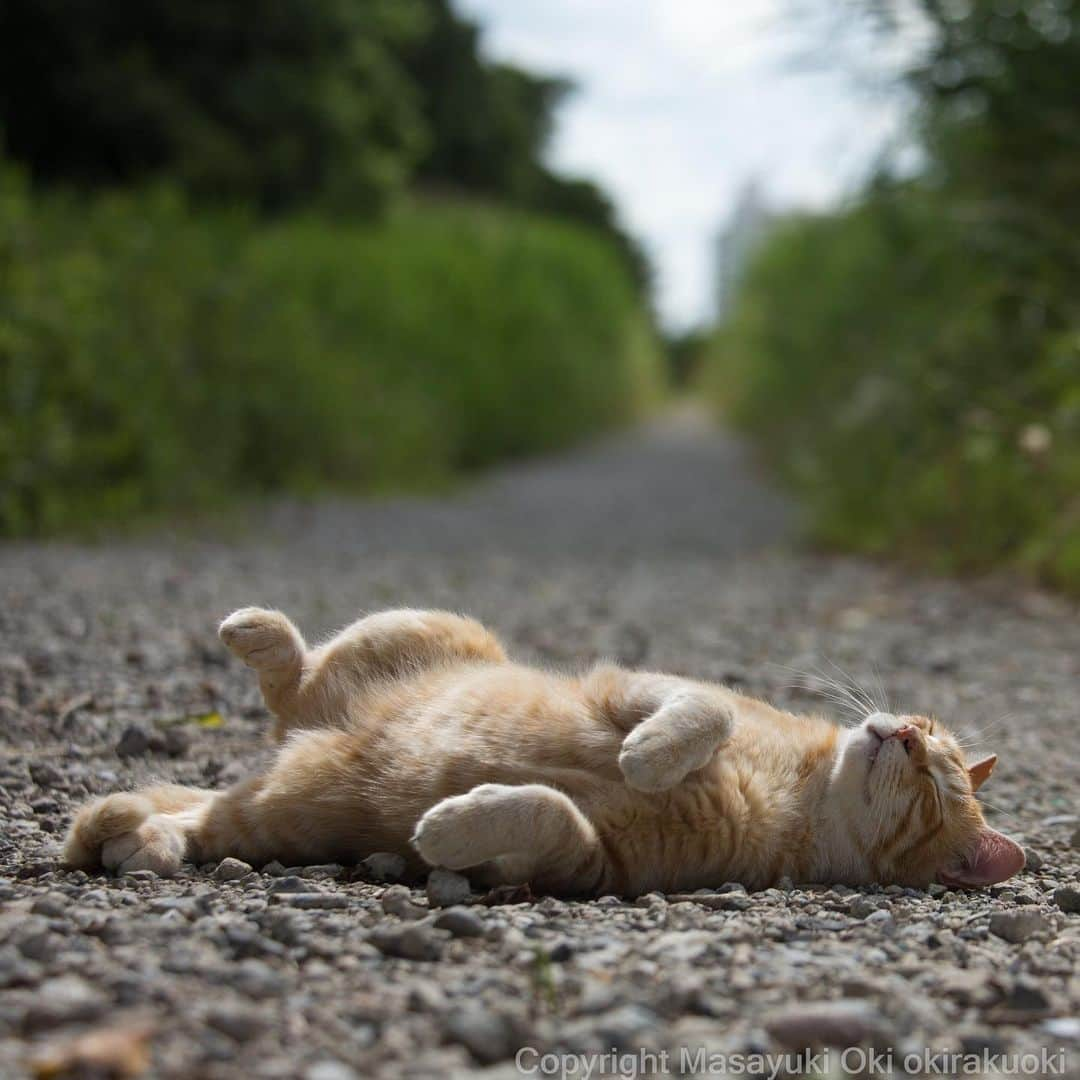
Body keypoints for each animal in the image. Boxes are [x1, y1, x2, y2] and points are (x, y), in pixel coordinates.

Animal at [63, 609, 1023, 894]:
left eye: (936, 782)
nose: (903, 732)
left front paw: (446, 831)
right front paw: (650, 754)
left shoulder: (596, 865)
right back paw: (258, 634)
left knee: (198, 812)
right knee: (294, 677)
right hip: (425, 630)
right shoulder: (639, 683)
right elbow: (703, 712)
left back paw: (131, 836)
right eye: (932, 738)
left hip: (276, 822)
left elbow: (548, 812)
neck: (798, 790)